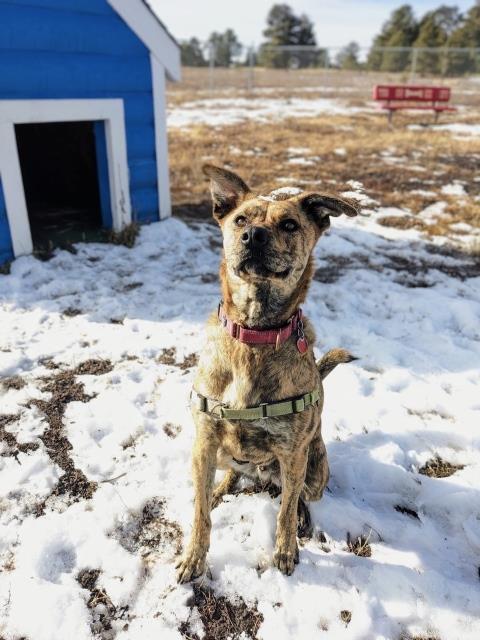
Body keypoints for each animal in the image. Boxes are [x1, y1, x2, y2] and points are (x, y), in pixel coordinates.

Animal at [175, 162, 356, 584]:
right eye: (241, 219)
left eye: (289, 224)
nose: (253, 235)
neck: (254, 335)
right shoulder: (204, 441)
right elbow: (200, 513)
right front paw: (194, 557)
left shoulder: (293, 452)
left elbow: (285, 510)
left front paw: (285, 550)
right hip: (217, 454)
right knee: (228, 475)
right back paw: (221, 487)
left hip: (314, 469)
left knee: (297, 495)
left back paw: (301, 516)